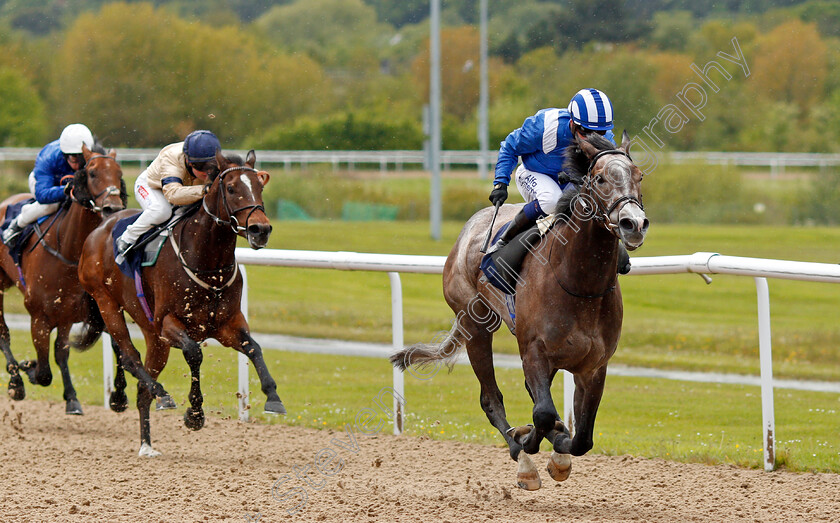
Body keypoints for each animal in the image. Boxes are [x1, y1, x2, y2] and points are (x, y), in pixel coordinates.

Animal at [0, 143, 126, 414]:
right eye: (92, 173)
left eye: (119, 173)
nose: (113, 207)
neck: (68, 251)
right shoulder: (39, 318)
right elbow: (44, 373)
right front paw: (29, 368)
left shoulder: (81, 311)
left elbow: (68, 353)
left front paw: (114, 396)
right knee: (3, 331)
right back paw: (16, 380)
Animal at [78, 149, 286, 456]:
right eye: (231, 188)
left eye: (260, 185)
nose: (260, 229)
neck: (207, 261)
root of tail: (98, 230)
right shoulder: (169, 323)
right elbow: (194, 353)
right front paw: (195, 414)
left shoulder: (226, 325)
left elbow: (254, 348)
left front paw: (273, 397)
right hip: (107, 303)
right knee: (129, 357)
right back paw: (161, 395)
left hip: (154, 337)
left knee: (142, 391)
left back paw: (147, 444)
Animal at [394, 132, 648, 492]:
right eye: (599, 178)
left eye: (638, 177)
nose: (633, 223)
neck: (580, 284)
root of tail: (469, 230)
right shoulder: (534, 351)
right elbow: (541, 415)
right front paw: (528, 443)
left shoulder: (594, 365)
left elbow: (582, 436)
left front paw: (560, 450)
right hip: (475, 323)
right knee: (491, 399)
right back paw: (522, 455)